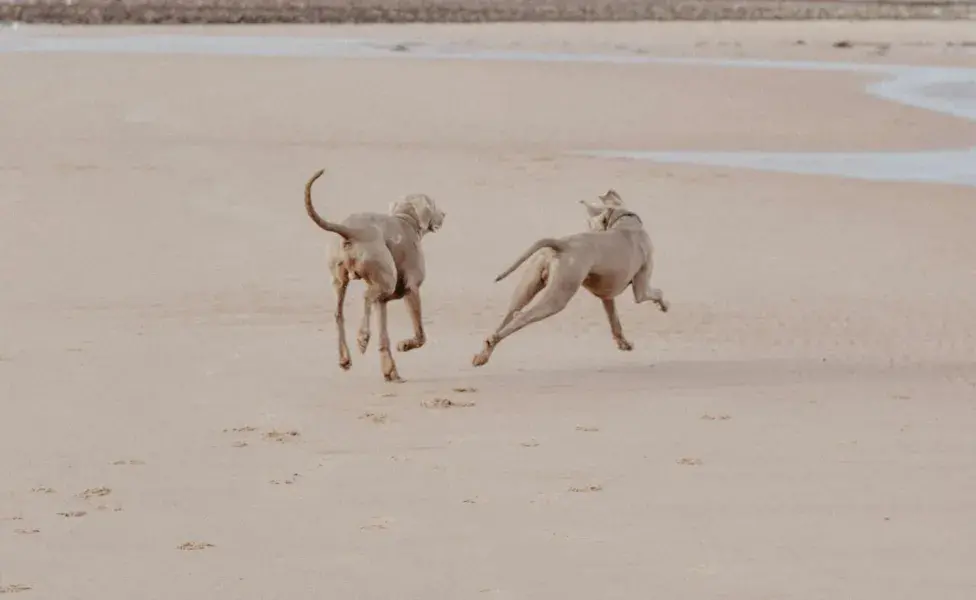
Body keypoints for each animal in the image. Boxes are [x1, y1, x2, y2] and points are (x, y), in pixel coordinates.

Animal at [304, 169, 448, 382]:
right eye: (434, 205)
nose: (445, 214)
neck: (406, 219)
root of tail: (351, 231)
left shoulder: (383, 300)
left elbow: (383, 337)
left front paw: (390, 371)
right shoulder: (411, 288)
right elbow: (421, 335)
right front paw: (404, 345)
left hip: (341, 282)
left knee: (339, 314)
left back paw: (345, 358)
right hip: (386, 280)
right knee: (365, 297)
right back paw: (362, 337)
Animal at [470, 189, 664, 366]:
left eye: (589, 223)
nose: (590, 229)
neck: (624, 221)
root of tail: (562, 244)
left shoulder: (607, 296)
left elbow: (615, 322)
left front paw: (624, 343)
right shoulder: (641, 290)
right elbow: (657, 293)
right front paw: (664, 305)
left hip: (528, 287)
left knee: (509, 315)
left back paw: (483, 355)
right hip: (558, 296)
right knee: (522, 317)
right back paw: (495, 339)